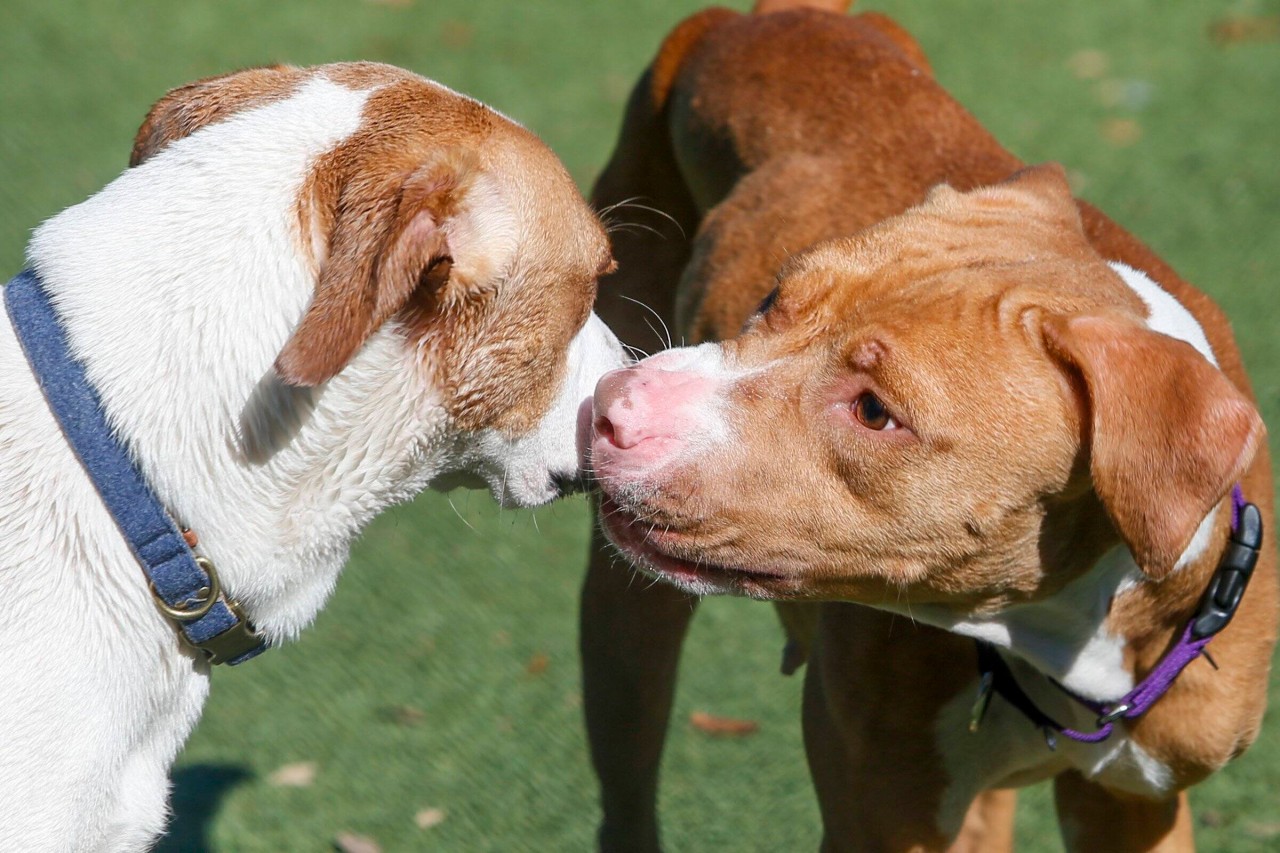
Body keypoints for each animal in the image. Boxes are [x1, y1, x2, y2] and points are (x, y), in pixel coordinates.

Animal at [581, 3, 1269, 845]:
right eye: (772, 297)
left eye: (876, 411)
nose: (614, 402)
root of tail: (770, 16)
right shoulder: (884, 812)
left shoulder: (1134, 802)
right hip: (625, 636)